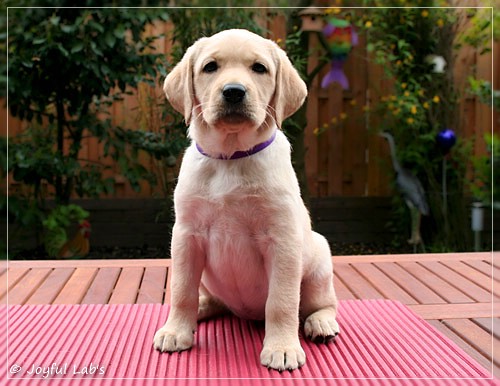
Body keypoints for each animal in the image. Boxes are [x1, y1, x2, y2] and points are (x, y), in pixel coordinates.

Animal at [153, 27, 340, 370]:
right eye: (210, 67)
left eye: (259, 68)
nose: (234, 92)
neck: (231, 157)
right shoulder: (186, 235)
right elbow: (181, 289)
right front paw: (176, 330)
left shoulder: (282, 240)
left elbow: (282, 301)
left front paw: (282, 348)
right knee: (206, 297)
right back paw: (200, 307)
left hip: (319, 259)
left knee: (319, 304)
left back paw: (320, 323)